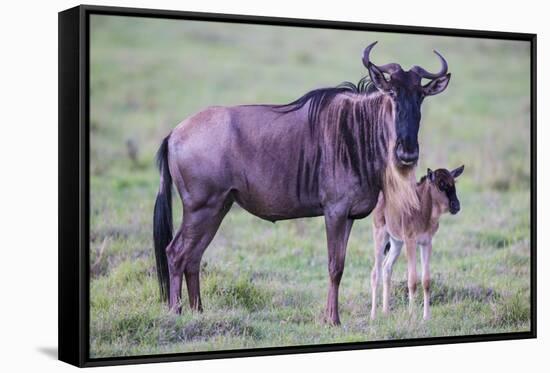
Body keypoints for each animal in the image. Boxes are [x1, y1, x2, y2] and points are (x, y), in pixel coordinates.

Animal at [370, 166, 466, 320]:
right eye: (441, 185)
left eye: (453, 183)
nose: (456, 206)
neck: (422, 210)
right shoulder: (411, 242)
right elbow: (412, 280)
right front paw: (412, 316)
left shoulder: (426, 243)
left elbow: (426, 280)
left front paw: (426, 317)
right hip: (380, 235)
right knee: (375, 272)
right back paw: (373, 315)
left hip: (396, 243)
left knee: (387, 267)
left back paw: (386, 312)